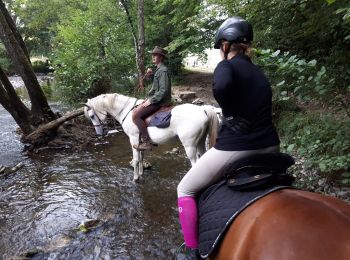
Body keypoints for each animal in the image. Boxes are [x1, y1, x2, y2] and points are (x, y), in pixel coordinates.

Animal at [84, 93, 219, 181]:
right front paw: (141, 174)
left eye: (92, 116)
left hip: (189, 145)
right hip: (200, 141)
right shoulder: (140, 142)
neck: (126, 111)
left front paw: (135, 179)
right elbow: (141, 157)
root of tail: (203, 110)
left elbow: (136, 159)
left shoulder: (133, 139)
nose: (99, 133)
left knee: (195, 163)